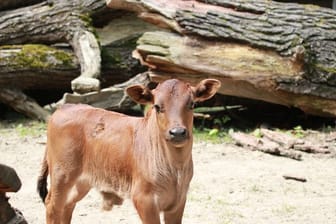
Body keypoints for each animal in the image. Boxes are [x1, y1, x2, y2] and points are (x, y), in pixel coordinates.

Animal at [36, 78, 220, 223]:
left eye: (192, 104)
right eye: (157, 106)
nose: (178, 132)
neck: (175, 169)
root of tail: (64, 108)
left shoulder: (178, 201)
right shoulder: (144, 199)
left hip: (81, 181)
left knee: (68, 205)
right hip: (62, 174)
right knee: (52, 205)